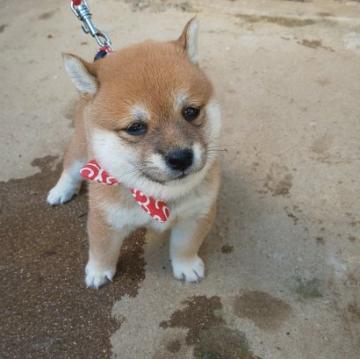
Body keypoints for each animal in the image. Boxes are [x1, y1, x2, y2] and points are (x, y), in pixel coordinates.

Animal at [47, 19, 222, 290]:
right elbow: (102, 251)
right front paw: (98, 272)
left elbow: (184, 247)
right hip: (79, 150)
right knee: (70, 169)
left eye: (191, 111)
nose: (181, 158)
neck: (155, 196)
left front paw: (187, 266)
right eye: (135, 127)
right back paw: (60, 190)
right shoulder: (104, 220)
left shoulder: (196, 216)